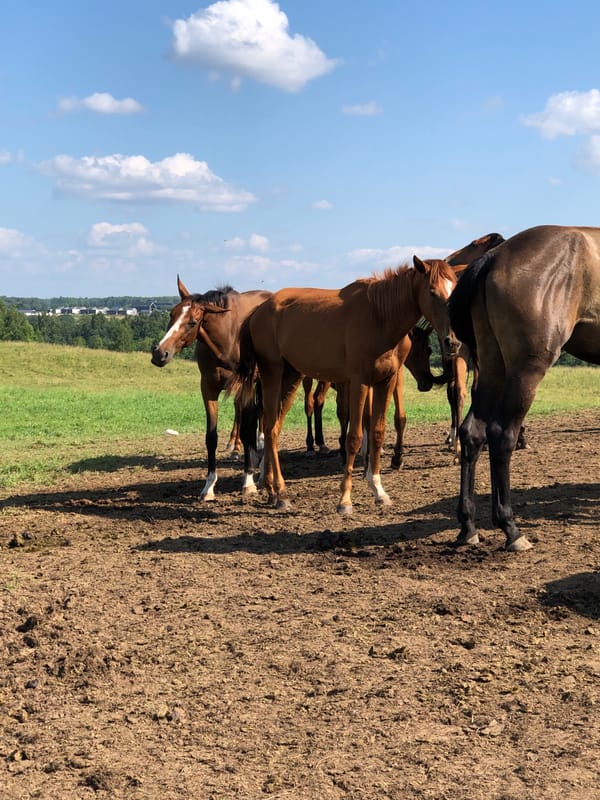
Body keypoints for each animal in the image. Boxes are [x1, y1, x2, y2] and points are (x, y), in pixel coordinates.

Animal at [151, 277, 271, 500]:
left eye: (192, 322)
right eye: (171, 314)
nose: (159, 353)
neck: (227, 340)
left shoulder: (243, 388)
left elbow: (247, 431)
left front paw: (248, 480)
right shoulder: (208, 388)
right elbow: (211, 437)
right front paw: (209, 486)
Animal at [228, 257, 459, 514]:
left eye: (454, 289)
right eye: (432, 291)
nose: (452, 342)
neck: (380, 317)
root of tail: (258, 311)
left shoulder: (385, 382)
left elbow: (377, 432)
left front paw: (378, 490)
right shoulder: (359, 382)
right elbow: (354, 437)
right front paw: (345, 500)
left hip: (291, 377)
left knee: (274, 429)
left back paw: (272, 491)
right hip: (272, 374)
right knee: (268, 428)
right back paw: (279, 491)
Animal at [448, 224, 600, 551]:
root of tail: (494, 258)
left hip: (493, 367)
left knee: (473, 432)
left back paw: (468, 526)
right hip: (525, 372)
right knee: (501, 434)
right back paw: (510, 528)